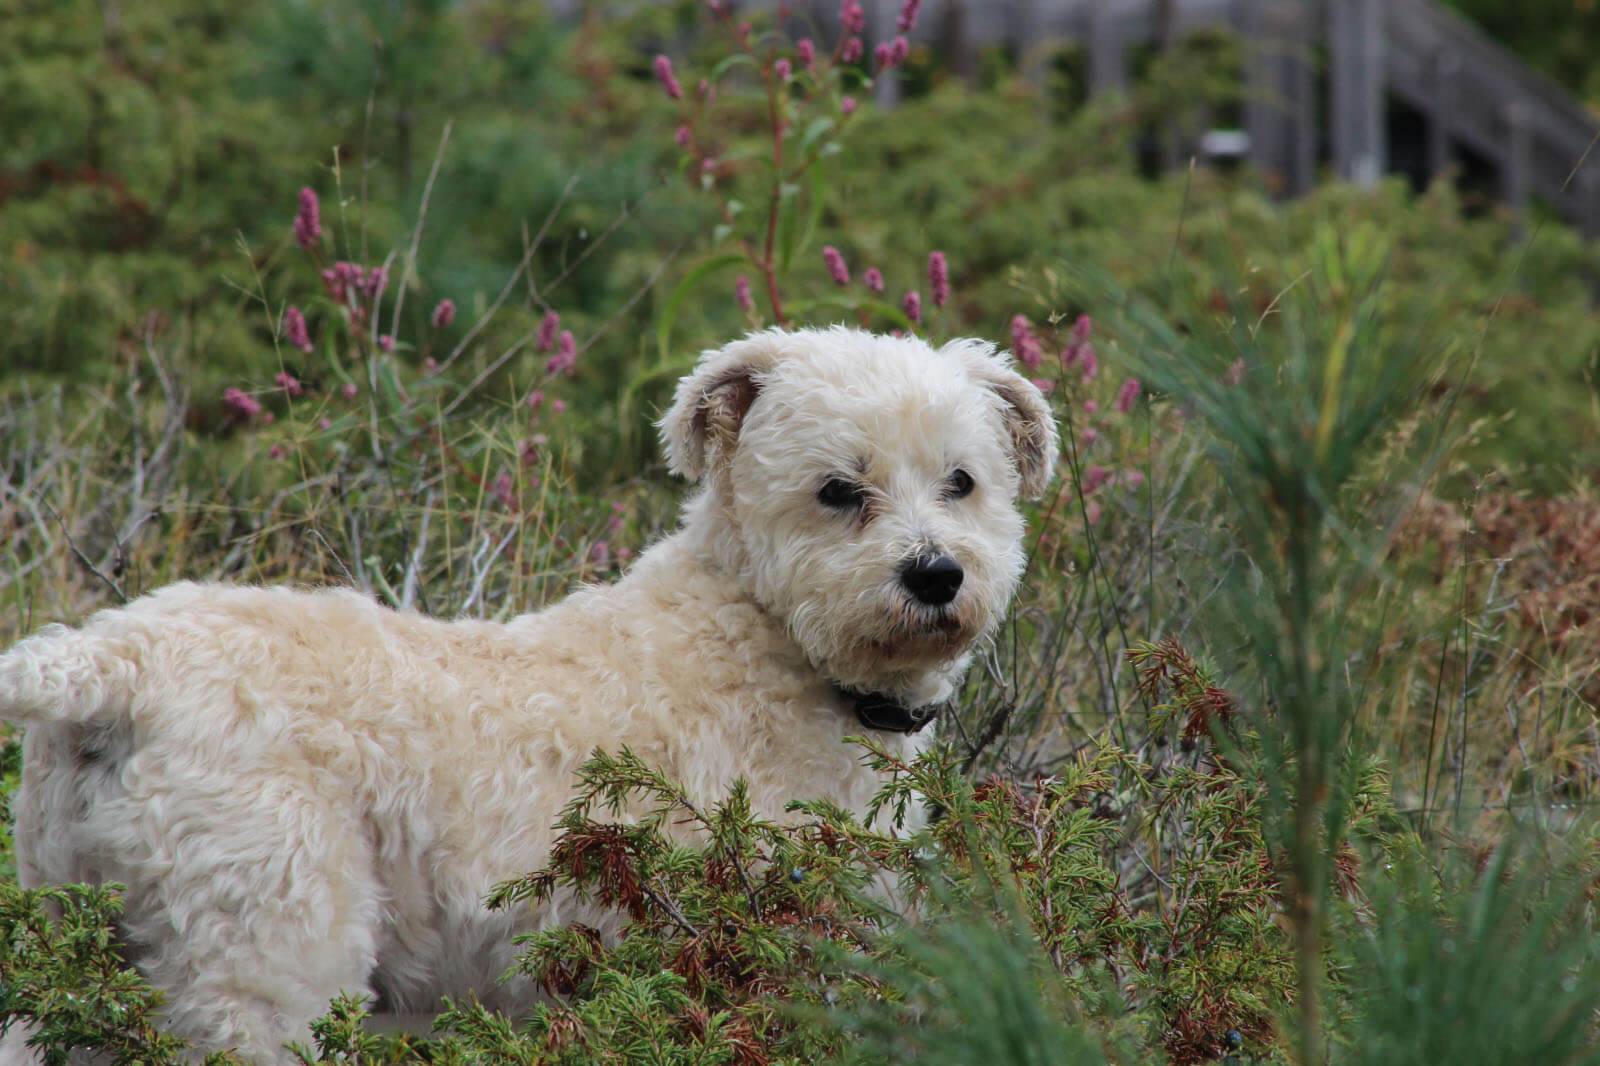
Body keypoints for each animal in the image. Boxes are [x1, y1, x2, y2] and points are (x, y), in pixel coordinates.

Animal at [0, 328, 1056, 1056]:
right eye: (839, 490)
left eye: (963, 482)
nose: (935, 576)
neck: (767, 640)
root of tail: (113, 663)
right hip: (263, 953)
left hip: (74, 933)